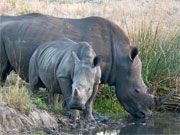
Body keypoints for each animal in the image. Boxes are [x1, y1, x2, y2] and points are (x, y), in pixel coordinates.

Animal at [0, 12, 174, 118]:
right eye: (136, 91)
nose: (147, 116)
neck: (121, 59)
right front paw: (72, 111)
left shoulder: (101, 73)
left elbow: (92, 93)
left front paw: (88, 113)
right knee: (3, 69)